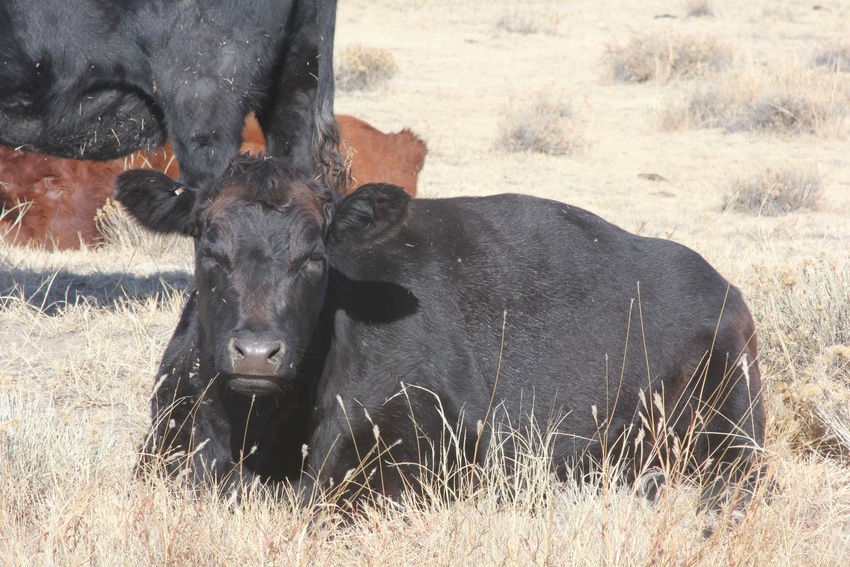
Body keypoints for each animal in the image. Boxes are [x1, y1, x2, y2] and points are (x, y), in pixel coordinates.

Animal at [117, 154, 760, 510]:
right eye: (208, 247)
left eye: (316, 256)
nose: (256, 352)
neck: (252, 434)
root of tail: (715, 281)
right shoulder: (161, 449)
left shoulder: (414, 455)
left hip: (730, 434)